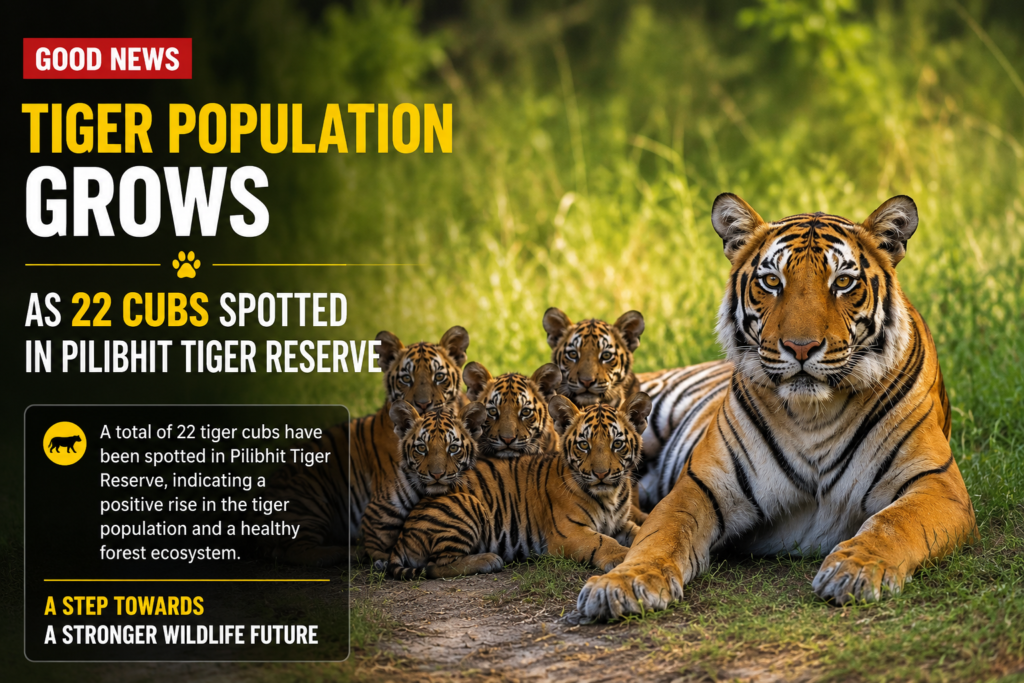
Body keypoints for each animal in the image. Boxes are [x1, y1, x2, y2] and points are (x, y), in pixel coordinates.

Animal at [262, 326, 470, 566]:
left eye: (439, 377)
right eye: (406, 379)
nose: (422, 404)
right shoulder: (383, 506)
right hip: (312, 494)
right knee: (298, 550)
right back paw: (347, 552)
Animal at [378, 392, 653, 580]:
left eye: (617, 444)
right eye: (584, 445)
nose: (601, 474)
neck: (610, 495)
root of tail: (403, 535)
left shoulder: (621, 524)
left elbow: (644, 530)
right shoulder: (568, 532)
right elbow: (602, 542)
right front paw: (621, 556)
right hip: (467, 504)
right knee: (436, 565)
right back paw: (488, 560)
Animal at [578, 193, 977, 619]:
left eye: (842, 282)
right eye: (772, 281)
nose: (801, 347)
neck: (814, 413)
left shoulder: (936, 483)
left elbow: (893, 523)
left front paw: (855, 570)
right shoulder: (701, 486)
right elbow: (660, 535)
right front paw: (623, 582)